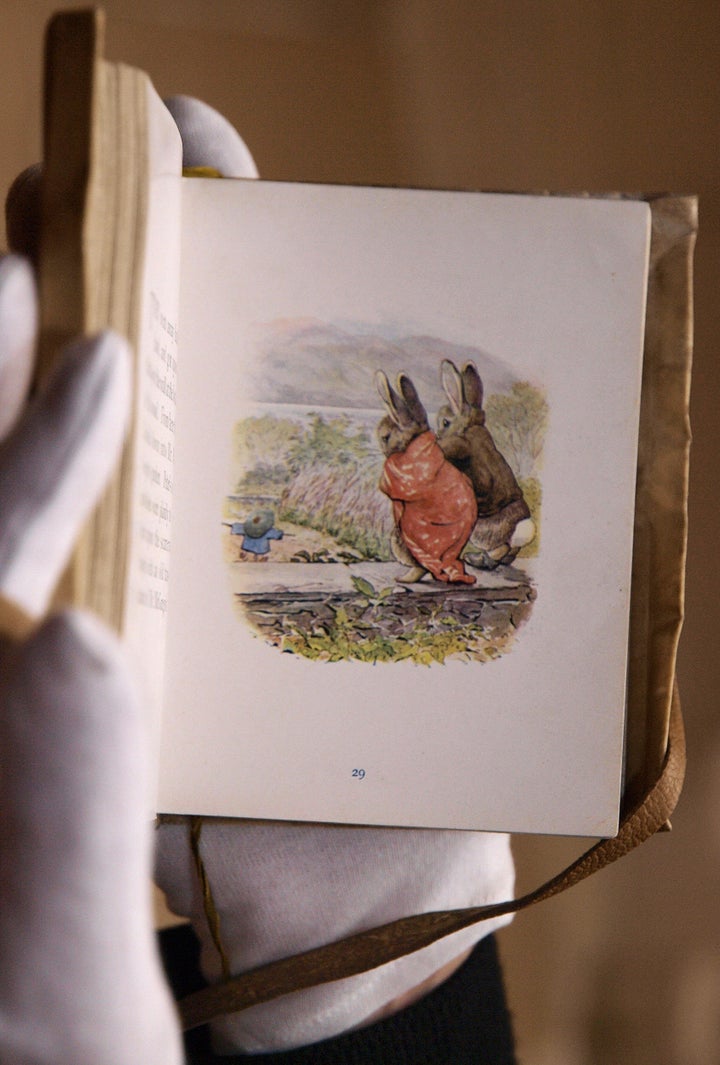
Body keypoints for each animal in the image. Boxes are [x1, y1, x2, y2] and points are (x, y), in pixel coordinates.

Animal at [432, 357, 534, 570]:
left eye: (445, 422)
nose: (436, 434)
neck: (467, 427)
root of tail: (520, 528)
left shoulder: (460, 445)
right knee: (509, 552)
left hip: (481, 530)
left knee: (500, 548)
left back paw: (475, 560)